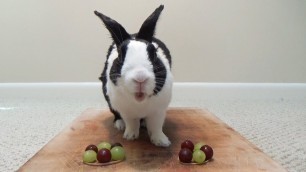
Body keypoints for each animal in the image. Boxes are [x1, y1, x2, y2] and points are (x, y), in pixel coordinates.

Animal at [94, 4, 172, 146]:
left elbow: (156, 126)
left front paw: (162, 142)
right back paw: (120, 125)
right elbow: (132, 123)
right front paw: (130, 136)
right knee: (116, 115)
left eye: (153, 53)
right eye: (120, 55)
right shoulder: (126, 112)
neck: (139, 102)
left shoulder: (158, 111)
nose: (140, 78)